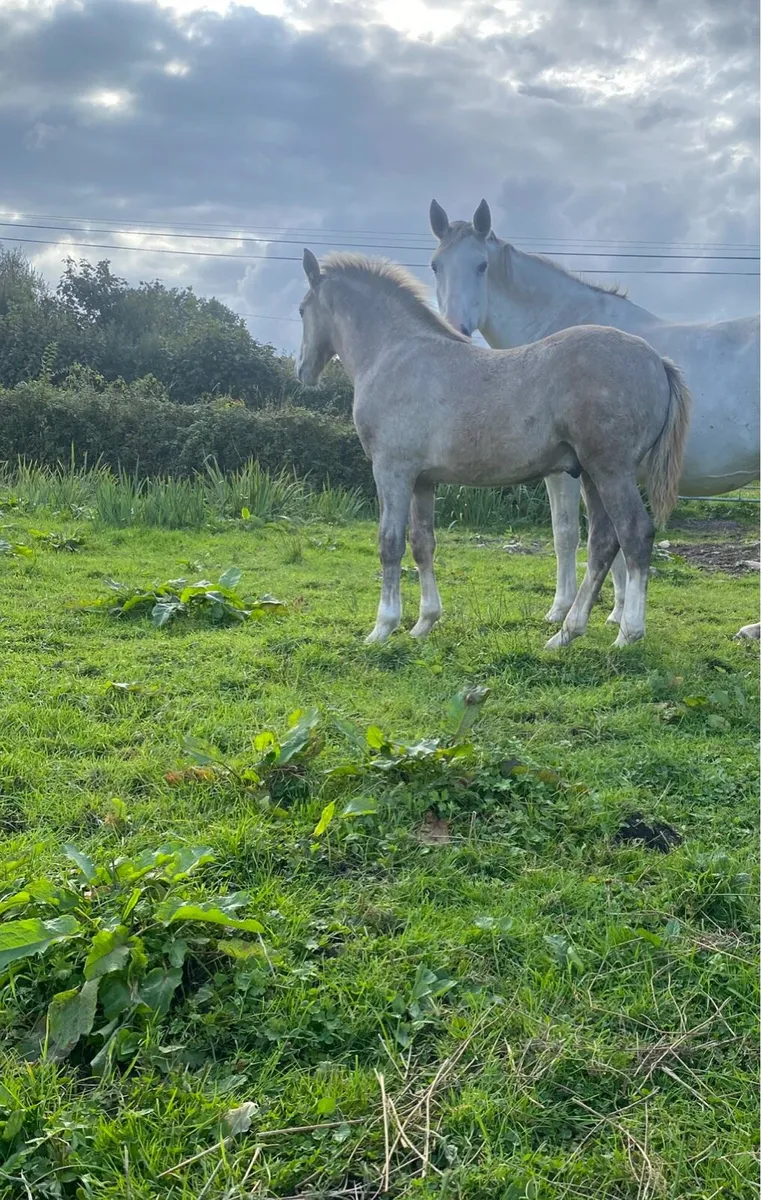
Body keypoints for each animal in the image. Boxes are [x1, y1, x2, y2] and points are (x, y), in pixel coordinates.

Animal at [295, 248, 691, 649]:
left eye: (300, 310)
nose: (302, 371)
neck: (395, 353)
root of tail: (657, 361)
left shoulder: (392, 470)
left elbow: (389, 543)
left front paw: (382, 627)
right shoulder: (423, 480)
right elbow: (422, 543)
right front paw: (424, 622)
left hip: (611, 471)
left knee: (634, 533)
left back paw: (627, 632)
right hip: (592, 475)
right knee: (603, 542)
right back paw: (566, 633)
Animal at [429, 198, 760, 640]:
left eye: (481, 265)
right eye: (436, 265)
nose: (455, 331)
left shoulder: (566, 472)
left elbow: (568, 534)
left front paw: (563, 610)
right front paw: (615, 612)